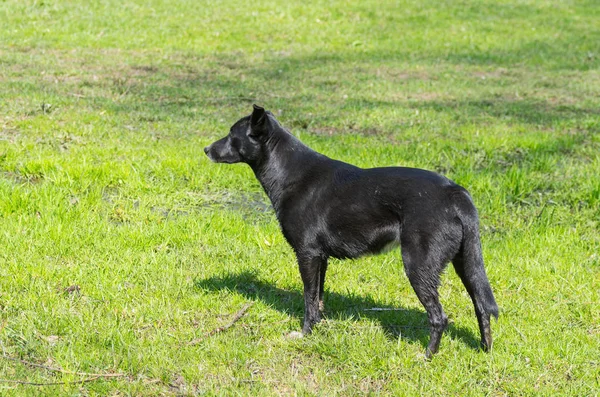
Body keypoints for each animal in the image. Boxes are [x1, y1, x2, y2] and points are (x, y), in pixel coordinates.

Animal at [205, 104, 496, 356]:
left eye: (232, 134)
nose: (206, 149)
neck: (287, 171)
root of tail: (455, 192)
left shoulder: (307, 254)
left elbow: (308, 299)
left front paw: (305, 334)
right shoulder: (320, 258)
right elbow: (318, 298)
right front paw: (319, 327)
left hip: (419, 265)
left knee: (439, 317)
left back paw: (426, 356)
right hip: (465, 263)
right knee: (482, 307)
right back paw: (485, 349)